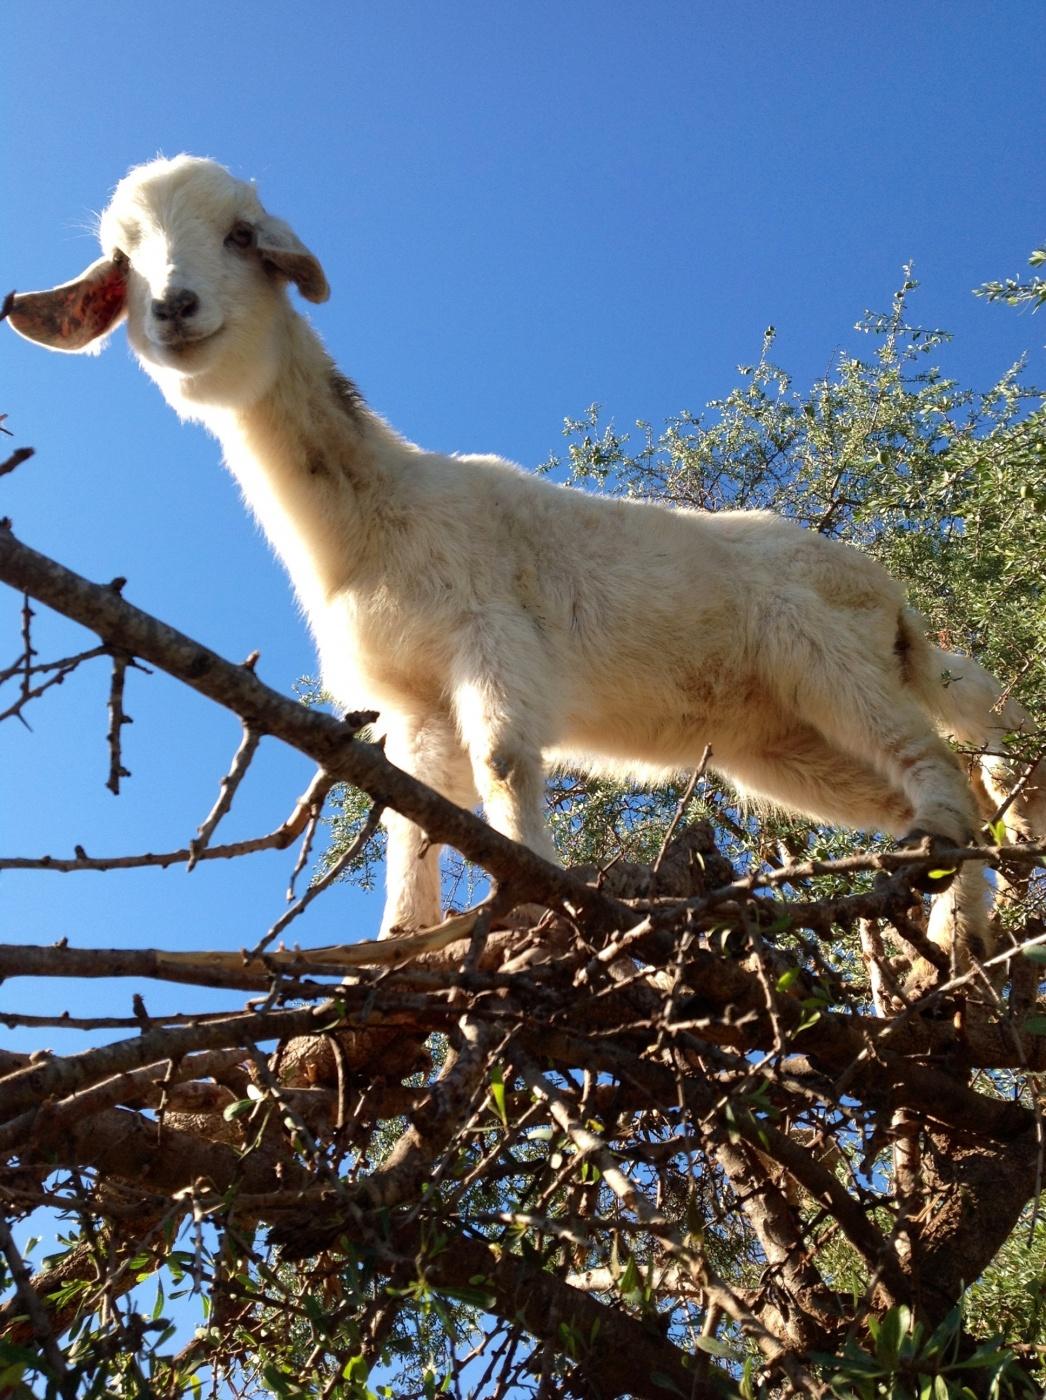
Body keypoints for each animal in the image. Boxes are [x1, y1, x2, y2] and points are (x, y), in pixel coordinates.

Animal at [4, 153, 1041, 963]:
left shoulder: (492, 636)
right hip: (779, 745)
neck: (378, 512)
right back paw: (955, 928)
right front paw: (406, 944)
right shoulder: (411, 695)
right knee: (927, 778)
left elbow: (504, 763)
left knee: (943, 766)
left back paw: (953, 902)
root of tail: (892, 601)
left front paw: (538, 894)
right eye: (125, 256)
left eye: (241, 236)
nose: (174, 309)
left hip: (827, 653)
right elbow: (413, 812)